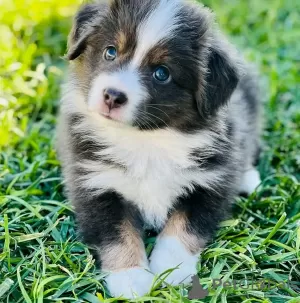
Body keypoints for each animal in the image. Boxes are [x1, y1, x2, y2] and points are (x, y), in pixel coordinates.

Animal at [57, 0, 262, 300]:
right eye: (110, 52)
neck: (146, 139)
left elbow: (184, 226)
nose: (112, 95)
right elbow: (117, 233)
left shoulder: (211, 181)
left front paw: (171, 270)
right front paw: (131, 278)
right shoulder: (95, 182)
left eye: (162, 73)